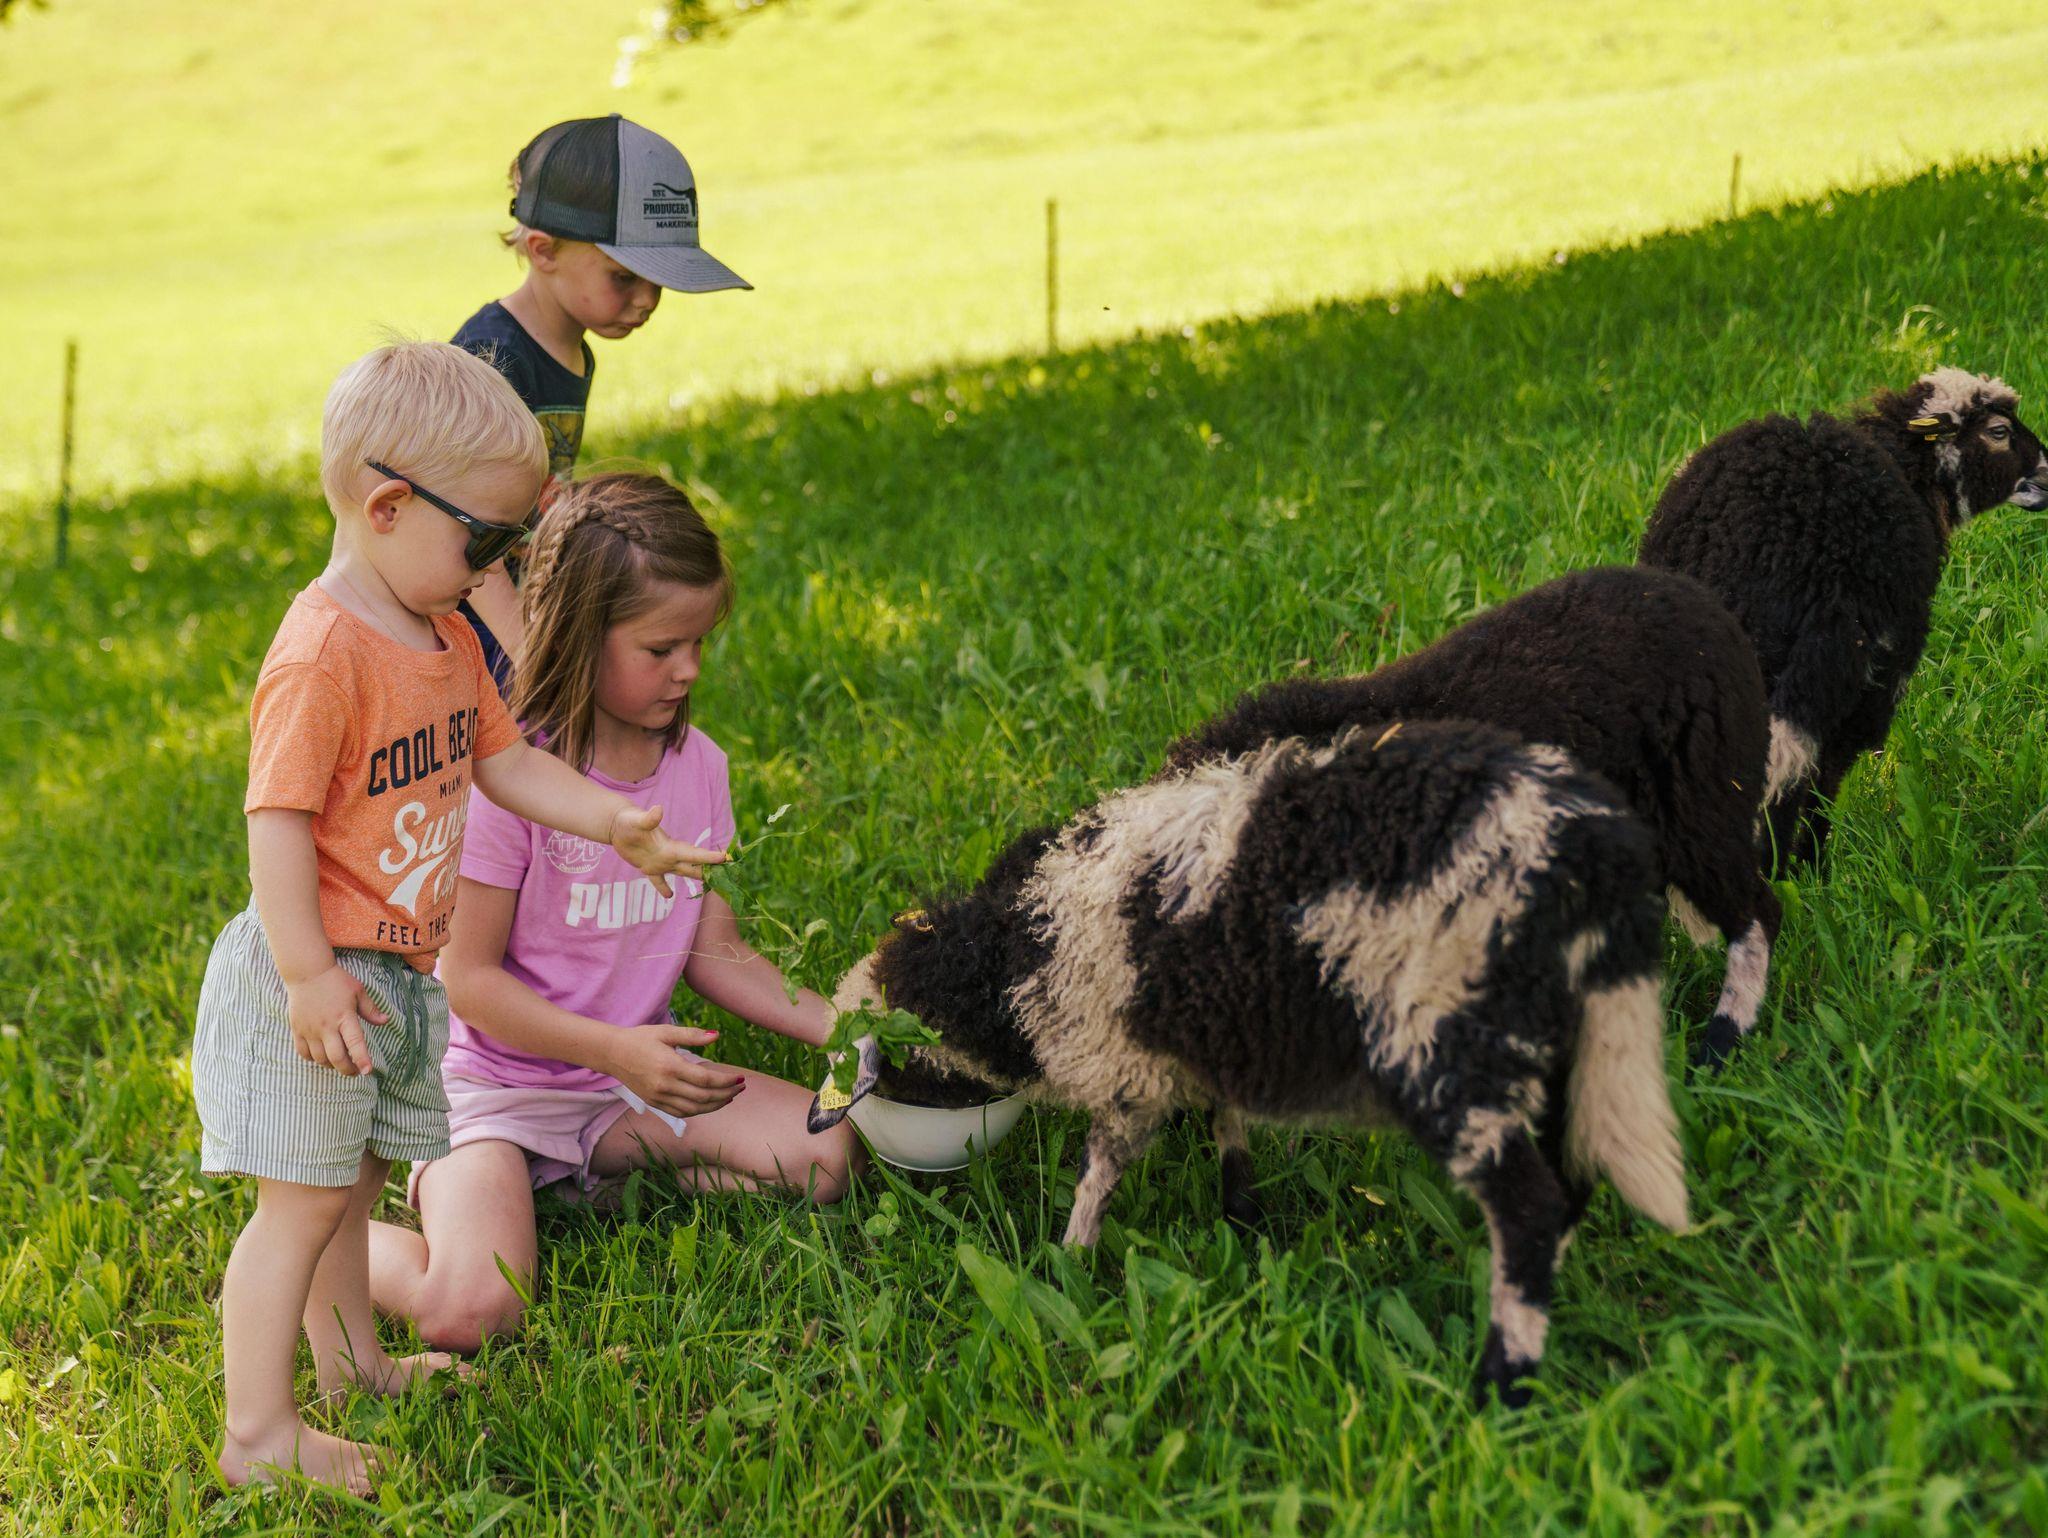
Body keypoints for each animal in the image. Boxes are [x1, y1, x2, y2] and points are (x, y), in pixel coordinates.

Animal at [808, 719, 1689, 1406]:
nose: (825, 1117)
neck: (1014, 953)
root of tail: (1589, 852)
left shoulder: (1126, 1072)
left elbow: (1101, 1173)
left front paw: (1065, 1269)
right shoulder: (1208, 1038)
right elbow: (1227, 1124)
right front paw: (1243, 1220)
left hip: (1447, 1034)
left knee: (1529, 1206)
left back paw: (1503, 1384)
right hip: (1557, 1037)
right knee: (1567, 1181)